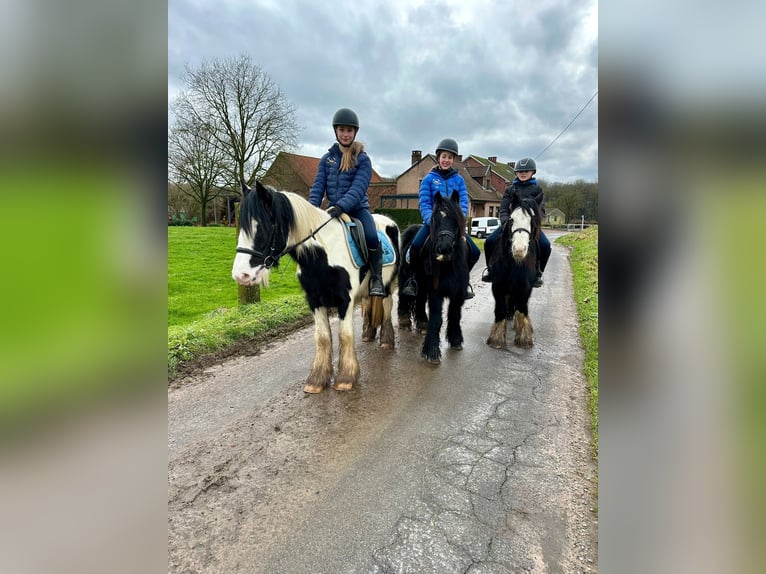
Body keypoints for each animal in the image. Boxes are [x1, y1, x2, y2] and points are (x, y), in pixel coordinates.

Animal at [232, 182, 402, 394]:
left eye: (260, 227)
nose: (241, 275)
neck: (322, 255)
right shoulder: (314, 300)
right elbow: (322, 338)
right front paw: (317, 380)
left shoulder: (345, 301)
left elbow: (345, 335)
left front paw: (345, 378)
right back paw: (368, 334)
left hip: (387, 284)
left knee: (387, 307)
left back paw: (386, 341)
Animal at [400, 192, 472, 364]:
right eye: (435, 219)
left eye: (455, 219)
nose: (444, 248)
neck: (448, 265)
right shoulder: (435, 292)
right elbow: (437, 318)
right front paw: (431, 351)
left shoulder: (458, 294)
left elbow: (454, 315)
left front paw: (455, 339)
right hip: (406, 278)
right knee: (403, 296)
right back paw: (404, 320)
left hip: (421, 285)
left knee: (419, 300)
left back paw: (422, 323)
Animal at [488, 191, 544, 348]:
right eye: (511, 219)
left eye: (532, 220)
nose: (519, 250)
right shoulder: (498, 285)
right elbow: (500, 309)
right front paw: (496, 338)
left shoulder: (525, 287)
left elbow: (522, 309)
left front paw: (524, 338)